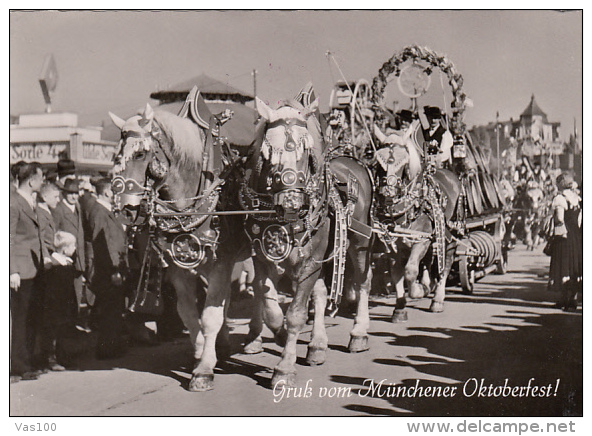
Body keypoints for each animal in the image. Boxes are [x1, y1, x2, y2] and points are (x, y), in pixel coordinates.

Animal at [190, 90, 372, 390]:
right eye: (267, 151)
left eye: (306, 151)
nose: (290, 201)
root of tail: (352, 161)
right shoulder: (263, 258)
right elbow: (270, 305)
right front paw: (279, 333)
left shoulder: (310, 262)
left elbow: (296, 313)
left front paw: (284, 368)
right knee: (321, 294)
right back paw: (316, 346)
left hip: (359, 243)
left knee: (363, 282)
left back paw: (359, 333)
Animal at [372, 123, 464, 320]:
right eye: (378, 162)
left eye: (404, 163)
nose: (388, 193)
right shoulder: (394, 244)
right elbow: (397, 274)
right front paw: (400, 308)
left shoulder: (421, 239)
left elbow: (410, 271)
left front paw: (419, 290)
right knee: (429, 260)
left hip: (450, 232)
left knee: (446, 262)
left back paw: (437, 299)